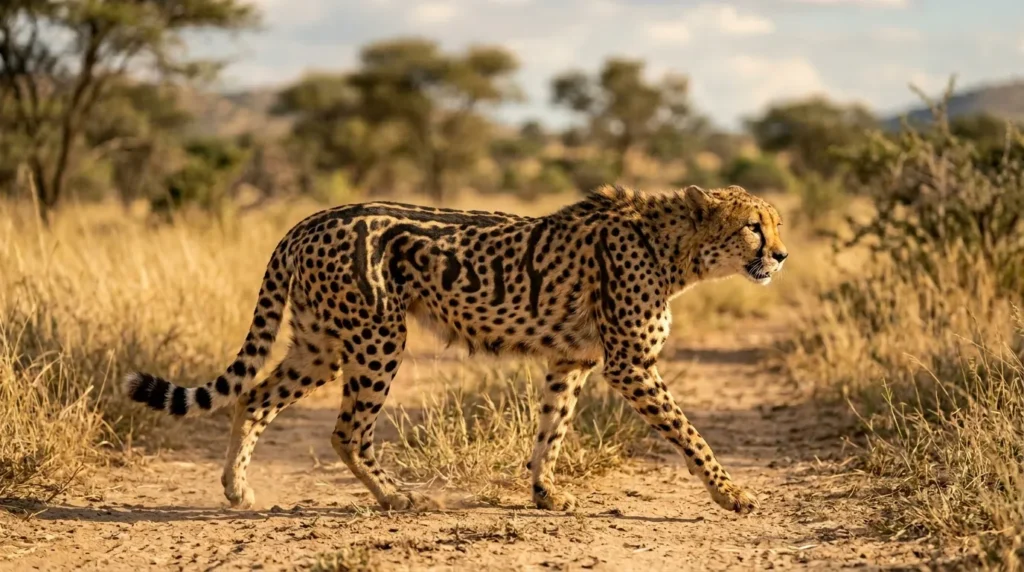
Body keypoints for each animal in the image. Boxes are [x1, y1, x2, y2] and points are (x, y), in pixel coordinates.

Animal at [124, 183, 788, 515]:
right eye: (754, 226)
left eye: (777, 224)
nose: (781, 255)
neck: (673, 247)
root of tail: (309, 219)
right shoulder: (631, 365)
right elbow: (691, 434)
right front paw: (731, 494)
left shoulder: (571, 359)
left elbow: (552, 430)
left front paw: (544, 494)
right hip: (377, 337)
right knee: (347, 431)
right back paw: (396, 497)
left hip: (319, 343)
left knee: (255, 399)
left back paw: (237, 491)